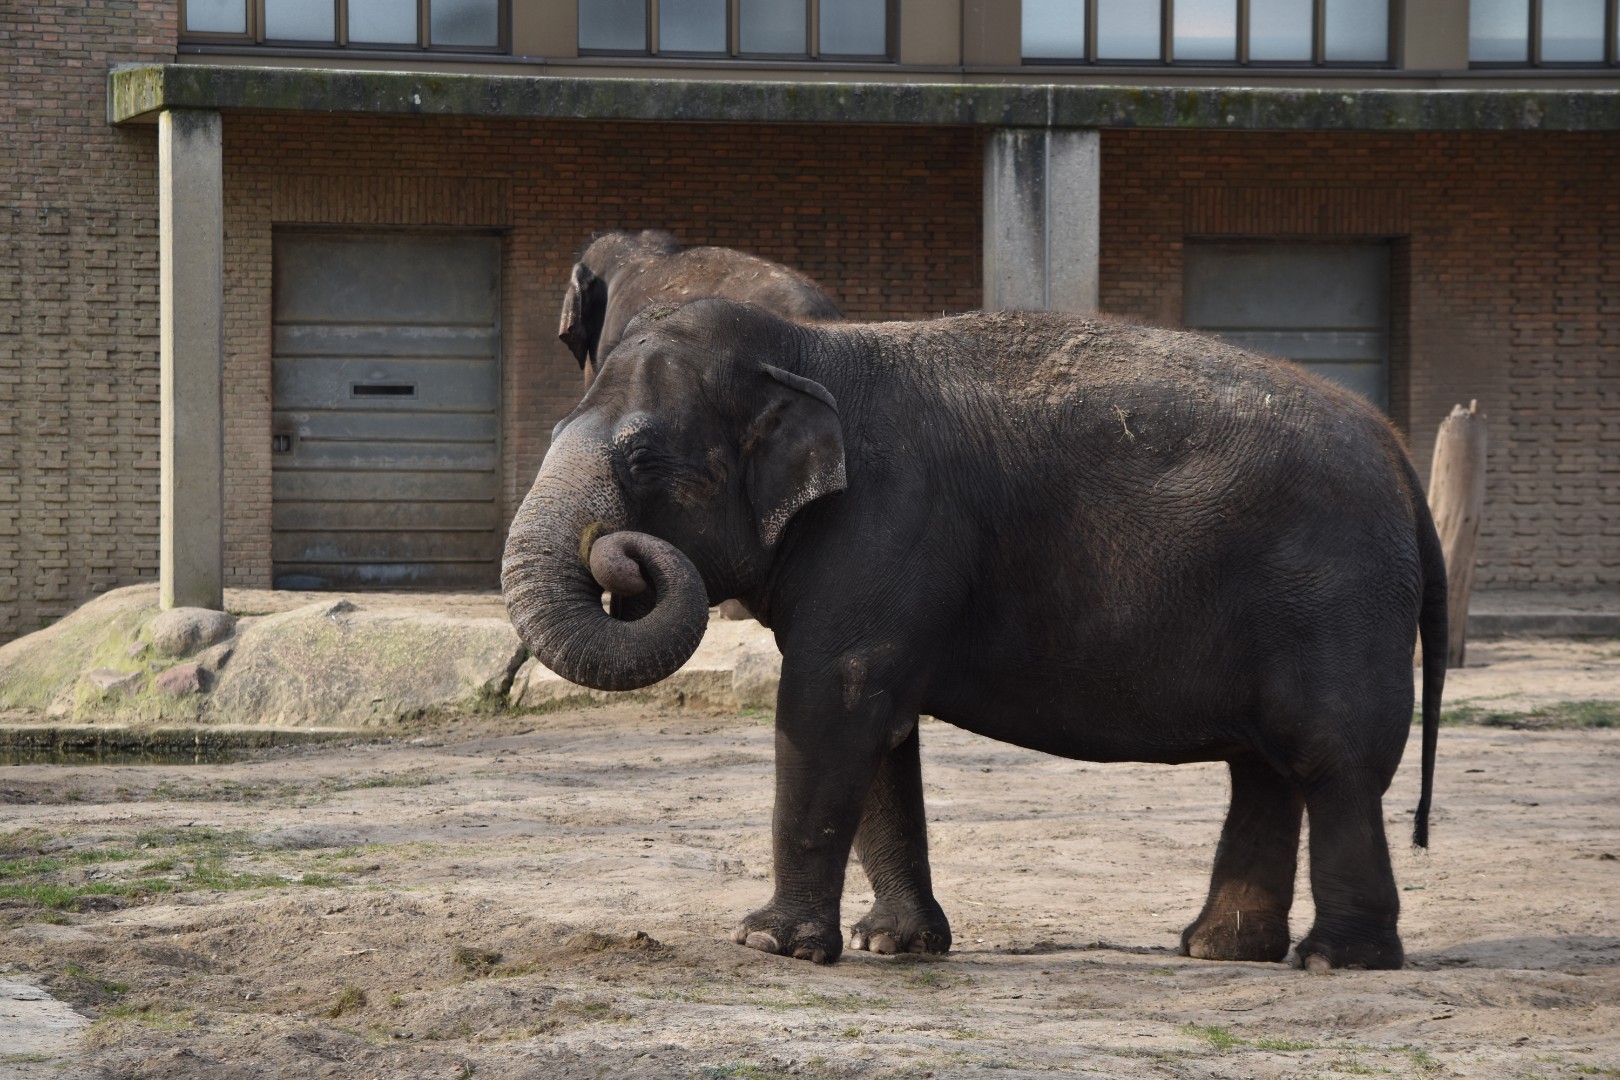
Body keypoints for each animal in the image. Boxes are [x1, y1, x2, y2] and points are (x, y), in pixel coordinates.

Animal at [503, 299, 1446, 971]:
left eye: (640, 457)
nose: (620, 557)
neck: (812, 349)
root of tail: (1402, 460)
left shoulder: (890, 521)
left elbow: (832, 696)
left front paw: (769, 944)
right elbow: (879, 723)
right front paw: (895, 945)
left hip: (1337, 596)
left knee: (1332, 761)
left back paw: (1335, 961)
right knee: (1265, 767)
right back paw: (1219, 950)